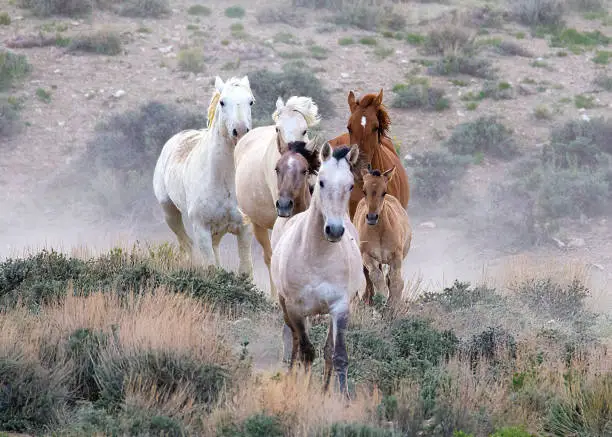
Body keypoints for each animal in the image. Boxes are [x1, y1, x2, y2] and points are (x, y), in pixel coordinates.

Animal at [154, 73, 256, 274]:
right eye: (222, 102)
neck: (223, 180)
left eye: (251, 101)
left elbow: (245, 270)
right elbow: (211, 268)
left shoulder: (244, 228)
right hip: (170, 213)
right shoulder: (202, 230)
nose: (240, 131)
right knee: (187, 245)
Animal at [272, 142, 366, 396]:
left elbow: (337, 355)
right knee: (295, 342)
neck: (316, 257)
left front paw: (341, 397)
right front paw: (302, 389)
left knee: (327, 351)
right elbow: (306, 351)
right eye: (322, 182)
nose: (334, 230)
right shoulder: (295, 308)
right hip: (286, 306)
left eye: (350, 185)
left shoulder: (340, 308)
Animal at [352, 166, 414, 306]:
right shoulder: (368, 256)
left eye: (384, 192)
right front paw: (382, 300)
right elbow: (377, 277)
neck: (380, 232)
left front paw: (394, 305)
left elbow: (395, 281)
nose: (372, 217)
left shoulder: (396, 256)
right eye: (364, 191)